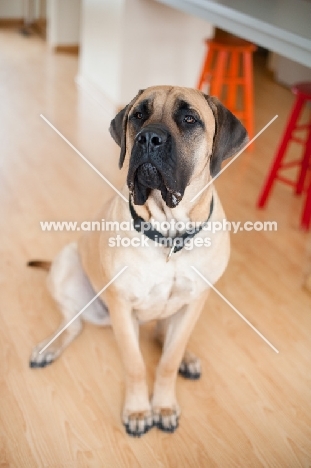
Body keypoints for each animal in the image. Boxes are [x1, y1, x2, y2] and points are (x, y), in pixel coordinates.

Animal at [29, 86, 249, 436]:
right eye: (138, 116)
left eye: (190, 119)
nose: (149, 138)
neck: (169, 232)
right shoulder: (121, 306)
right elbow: (134, 364)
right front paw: (137, 411)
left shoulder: (195, 301)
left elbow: (168, 361)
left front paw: (164, 405)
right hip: (68, 264)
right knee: (72, 323)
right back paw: (48, 347)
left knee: (163, 334)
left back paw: (186, 357)